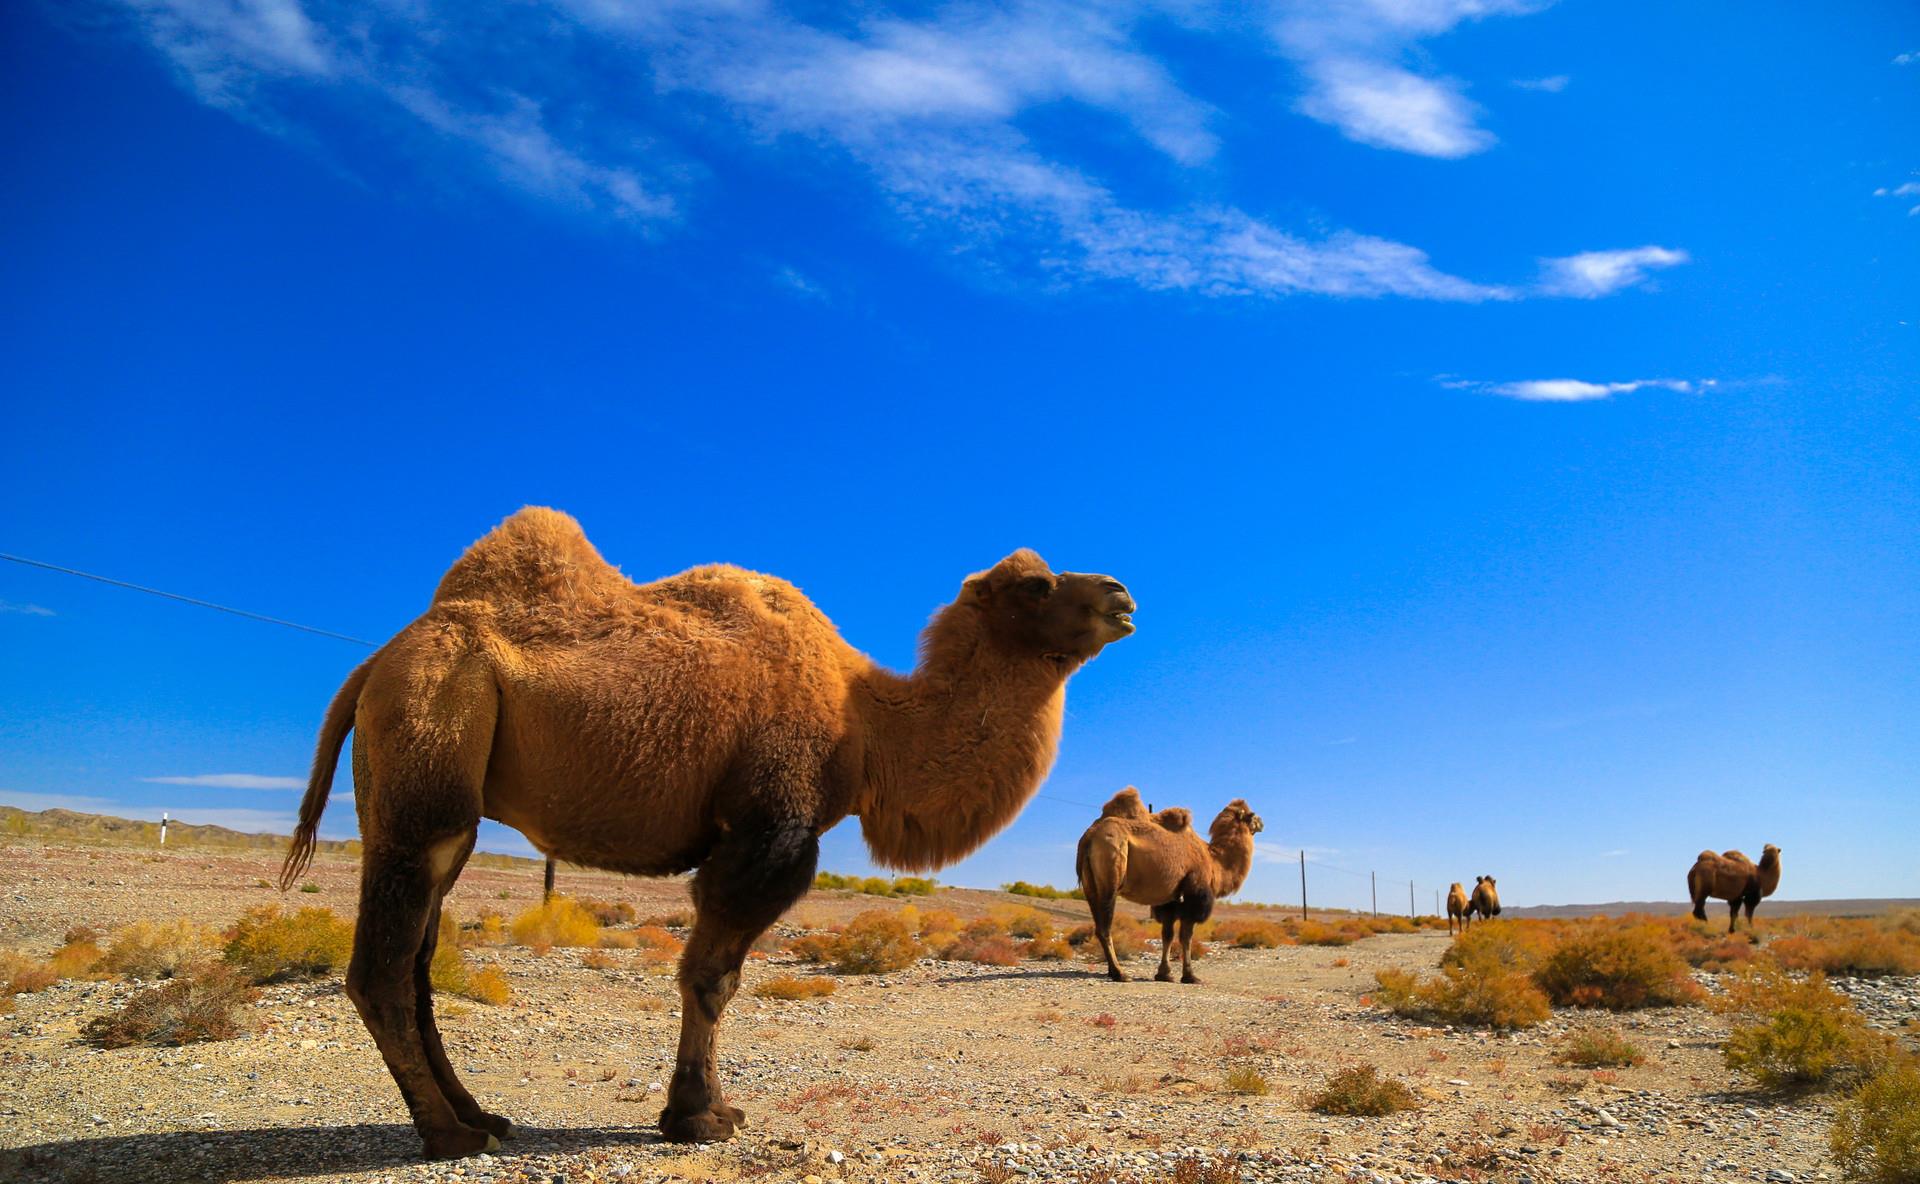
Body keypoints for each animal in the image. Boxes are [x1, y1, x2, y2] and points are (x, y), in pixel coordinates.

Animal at [278, 506, 1128, 1151]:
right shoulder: (771, 825)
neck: (864, 721)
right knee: (383, 969)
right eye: (1037, 585)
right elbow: (712, 977)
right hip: (428, 748)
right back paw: (448, 1136)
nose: (1122, 592)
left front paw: (703, 1109)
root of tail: (376, 663)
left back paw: (481, 1115)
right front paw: (699, 1117)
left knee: (419, 963)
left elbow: (720, 976)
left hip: (439, 789)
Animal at [1075, 786, 1267, 978]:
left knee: (1098, 924)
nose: (1262, 823)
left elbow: (1167, 934)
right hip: (1111, 870)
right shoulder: (1194, 893)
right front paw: (1190, 975)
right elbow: (1186, 936)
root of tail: (1089, 836)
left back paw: (1112, 970)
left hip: (1090, 886)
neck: (1214, 862)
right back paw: (1120, 973)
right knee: (1105, 926)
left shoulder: (1169, 898)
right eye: (1252, 816)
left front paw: (1164, 973)